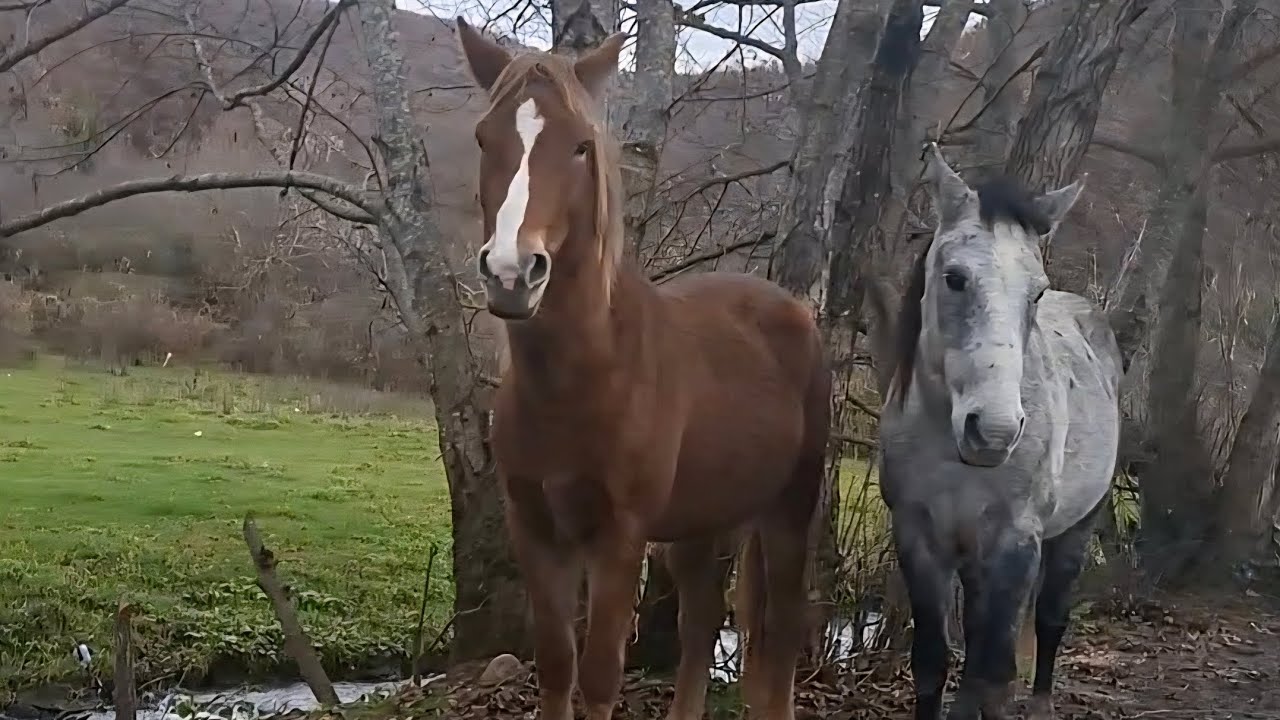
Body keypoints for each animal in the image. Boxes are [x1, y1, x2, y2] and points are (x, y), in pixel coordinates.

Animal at [455, 19, 831, 720]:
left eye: (580, 146)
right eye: (484, 138)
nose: (513, 273)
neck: (582, 381)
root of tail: (796, 311)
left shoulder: (620, 537)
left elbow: (601, 674)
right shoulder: (537, 531)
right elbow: (557, 666)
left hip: (789, 510)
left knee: (784, 629)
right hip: (702, 522)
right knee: (701, 622)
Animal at [873, 144, 1120, 720]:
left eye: (1037, 293)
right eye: (954, 277)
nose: (994, 432)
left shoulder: (1016, 541)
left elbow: (992, 668)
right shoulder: (919, 537)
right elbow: (933, 663)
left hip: (1078, 528)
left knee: (1049, 620)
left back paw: (1042, 700)